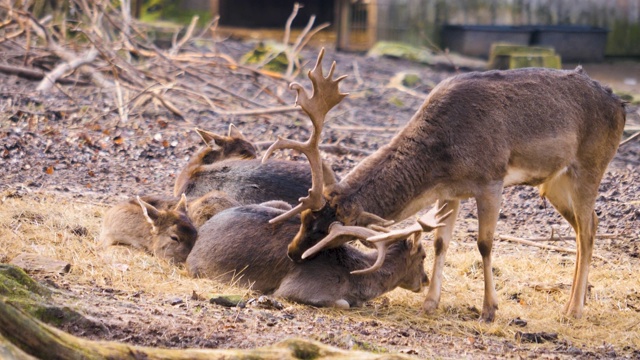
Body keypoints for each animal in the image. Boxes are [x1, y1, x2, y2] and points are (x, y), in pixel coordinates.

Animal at [262, 49, 624, 322]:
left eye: (326, 232)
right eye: (304, 217)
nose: (293, 252)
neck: (443, 156)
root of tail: (621, 106)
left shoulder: (490, 179)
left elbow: (484, 244)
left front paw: (489, 310)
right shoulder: (450, 192)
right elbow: (440, 242)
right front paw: (430, 303)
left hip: (590, 165)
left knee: (588, 229)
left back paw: (573, 309)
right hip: (554, 183)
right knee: (587, 225)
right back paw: (577, 301)